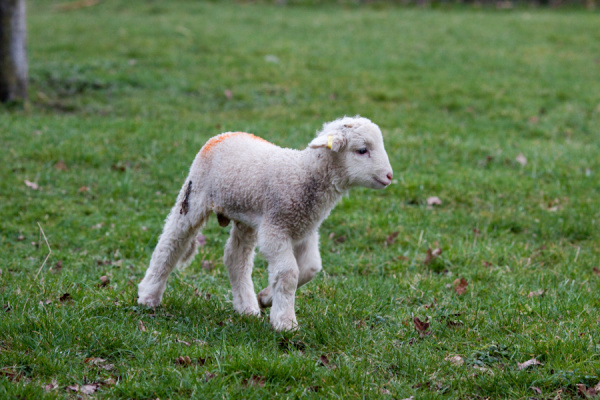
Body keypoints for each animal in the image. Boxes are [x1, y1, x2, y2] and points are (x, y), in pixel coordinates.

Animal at [138, 115, 396, 332]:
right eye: (362, 150)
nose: (389, 176)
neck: (303, 175)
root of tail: (226, 133)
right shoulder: (276, 228)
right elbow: (289, 272)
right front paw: (285, 322)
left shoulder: (304, 229)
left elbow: (310, 268)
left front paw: (266, 298)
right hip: (194, 196)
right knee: (171, 242)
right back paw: (148, 296)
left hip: (247, 216)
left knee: (236, 258)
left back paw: (247, 307)